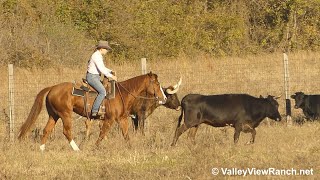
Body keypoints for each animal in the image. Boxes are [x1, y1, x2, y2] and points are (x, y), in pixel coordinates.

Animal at [18, 72, 166, 151]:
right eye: (157, 84)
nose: (164, 98)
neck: (121, 94)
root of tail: (52, 87)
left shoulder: (122, 119)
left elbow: (126, 135)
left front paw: (130, 147)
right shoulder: (109, 120)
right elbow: (102, 134)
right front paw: (95, 148)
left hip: (54, 115)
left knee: (46, 130)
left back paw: (42, 149)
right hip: (65, 114)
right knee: (66, 131)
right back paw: (77, 149)